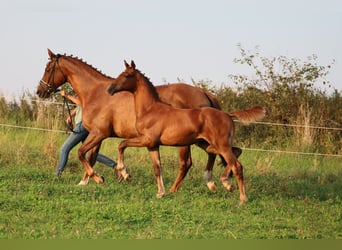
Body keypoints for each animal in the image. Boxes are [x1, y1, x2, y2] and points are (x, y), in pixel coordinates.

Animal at [36, 48, 240, 191]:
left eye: (48, 68)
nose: (40, 91)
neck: (96, 92)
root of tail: (204, 93)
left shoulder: (99, 133)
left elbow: (81, 154)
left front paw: (101, 177)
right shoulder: (98, 135)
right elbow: (91, 156)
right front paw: (89, 180)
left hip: (185, 142)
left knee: (188, 163)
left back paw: (178, 189)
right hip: (199, 140)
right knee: (219, 154)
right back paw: (214, 183)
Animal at [108, 61, 266, 205]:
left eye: (127, 75)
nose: (110, 89)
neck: (150, 109)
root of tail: (227, 114)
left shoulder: (147, 139)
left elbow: (122, 144)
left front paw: (125, 173)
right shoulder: (152, 145)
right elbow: (157, 168)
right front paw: (160, 193)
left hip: (220, 145)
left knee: (236, 165)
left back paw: (241, 198)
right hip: (208, 144)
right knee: (234, 152)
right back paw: (225, 183)